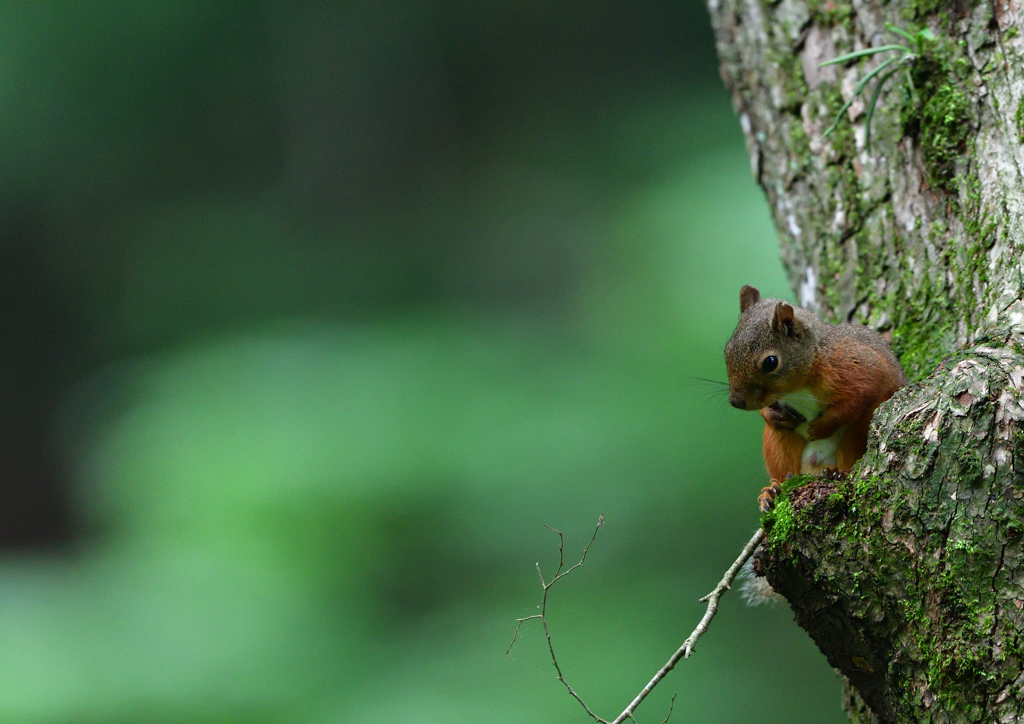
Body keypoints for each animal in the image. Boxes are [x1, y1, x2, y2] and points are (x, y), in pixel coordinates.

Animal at [724, 282, 909, 509]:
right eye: (727, 351)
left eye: (770, 362)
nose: (736, 401)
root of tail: (815, 466)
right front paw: (770, 414)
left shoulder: (857, 367)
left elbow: (860, 396)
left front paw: (822, 426)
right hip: (778, 440)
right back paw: (772, 491)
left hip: (858, 430)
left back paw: (839, 472)